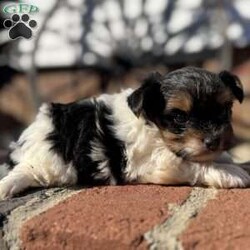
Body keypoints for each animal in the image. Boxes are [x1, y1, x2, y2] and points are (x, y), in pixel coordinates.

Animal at [0, 66, 250, 199]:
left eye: (224, 110)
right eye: (179, 117)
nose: (213, 140)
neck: (152, 126)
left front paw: (229, 160)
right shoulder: (155, 162)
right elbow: (192, 163)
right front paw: (230, 172)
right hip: (49, 163)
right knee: (25, 171)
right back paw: (8, 186)